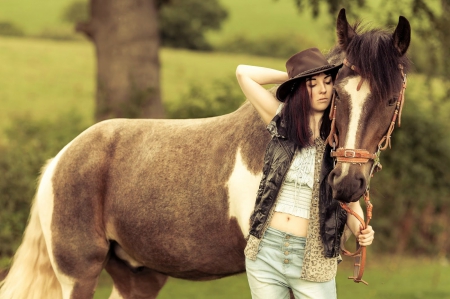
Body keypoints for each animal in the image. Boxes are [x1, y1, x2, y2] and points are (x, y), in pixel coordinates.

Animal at [0, 8, 410, 298]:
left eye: (392, 100)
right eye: (337, 93)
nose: (347, 184)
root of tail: (61, 160)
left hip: (138, 275)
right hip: (79, 274)